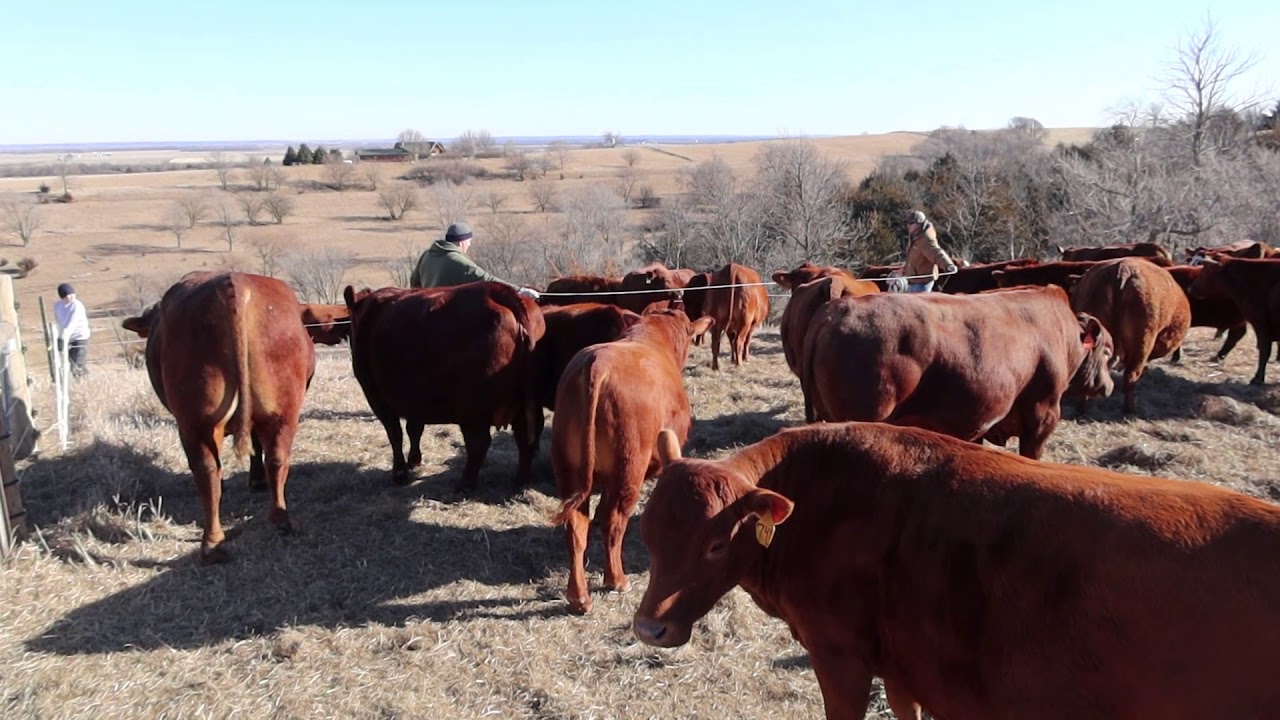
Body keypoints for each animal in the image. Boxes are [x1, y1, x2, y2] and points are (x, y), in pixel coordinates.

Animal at [121, 272, 318, 562]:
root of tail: (233, 282)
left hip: (195, 423)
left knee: (208, 472)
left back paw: (212, 542)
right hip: (283, 413)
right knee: (277, 460)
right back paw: (279, 520)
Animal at [343, 282, 545, 491]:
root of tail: (496, 290)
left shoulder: (376, 396)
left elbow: (395, 433)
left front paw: (399, 473)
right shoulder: (415, 399)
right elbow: (414, 428)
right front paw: (414, 460)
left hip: (472, 407)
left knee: (479, 443)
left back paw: (465, 484)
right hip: (523, 405)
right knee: (526, 438)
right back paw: (520, 480)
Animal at [550, 308, 714, 614]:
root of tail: (597, 364)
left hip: (570, 471)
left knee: (577, 527)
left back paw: (579, 596)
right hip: (629, 469)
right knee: (614, 519)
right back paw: (616, 580)